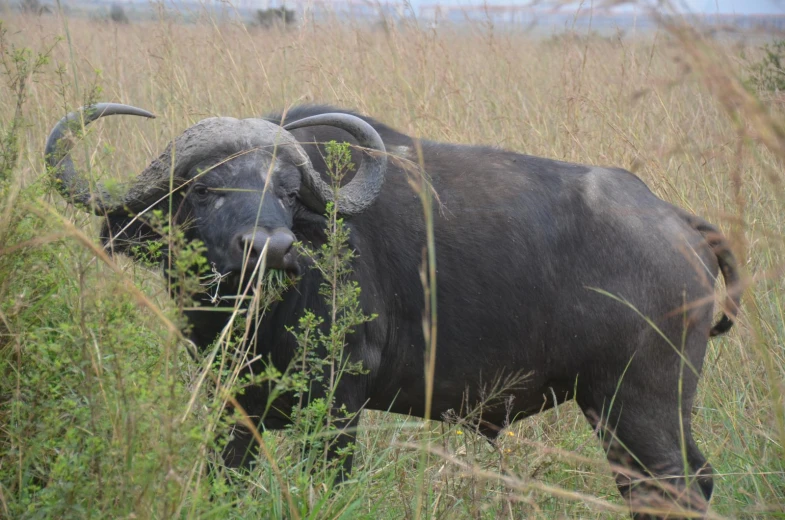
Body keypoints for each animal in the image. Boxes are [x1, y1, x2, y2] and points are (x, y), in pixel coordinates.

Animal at [44, 101, 740, 516]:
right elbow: (226, 481)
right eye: (203, 190)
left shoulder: (339, 404)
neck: (261, 316)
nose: (271, 248)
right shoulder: (232, 404)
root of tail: (678, 222)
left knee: (674, 487)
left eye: (288, 191)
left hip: (637, 405)